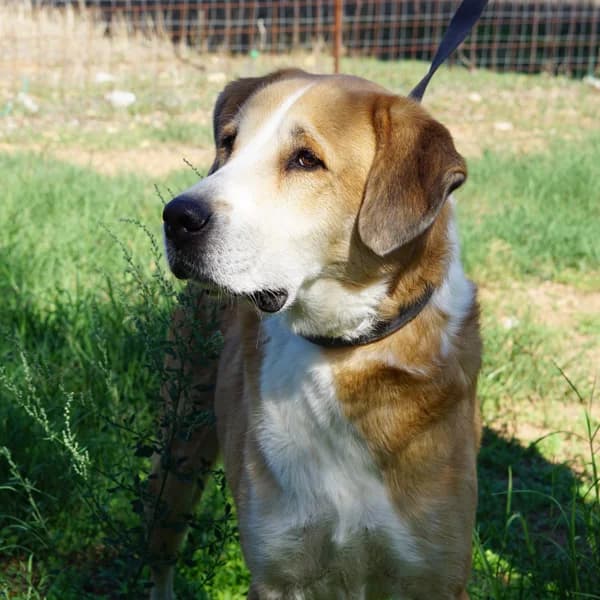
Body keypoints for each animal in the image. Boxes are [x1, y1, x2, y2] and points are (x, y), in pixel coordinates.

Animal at [148, 68, 482, 600]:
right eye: (229, 143)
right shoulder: (280, 569)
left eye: (306, 159)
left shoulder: (433, 575)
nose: (178, 216)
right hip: (178, 447)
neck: (343, 353)